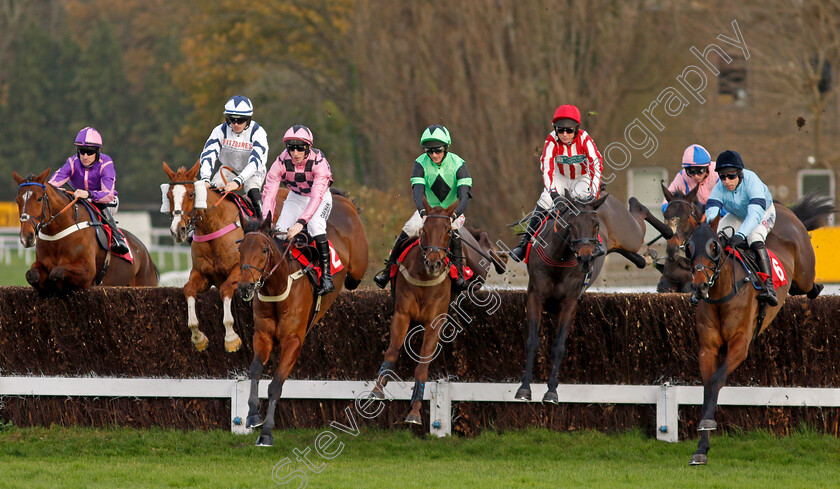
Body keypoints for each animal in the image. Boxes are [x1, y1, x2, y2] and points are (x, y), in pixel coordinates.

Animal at [12, 169, 158, 290]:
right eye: (18, 201)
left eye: (39, 198)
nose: (26, 237)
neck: (57, 233)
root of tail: (146, 254)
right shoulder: (40, 264)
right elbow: (31, 275)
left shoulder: (87, 272)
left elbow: (57, 272)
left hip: (145, 281)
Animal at [162, 162, 249, 352]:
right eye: (168, 195)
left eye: (191, 194)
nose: (177, 230)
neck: (213, 226)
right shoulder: (202, 274)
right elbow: (188, 289)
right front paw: (198, 338)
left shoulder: (239, 270)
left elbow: (225, 288)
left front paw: (231, 338)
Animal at [236, 190, 368, 446]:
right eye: (240, 250)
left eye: (264, 250)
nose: (245, 287)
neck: (278, 290)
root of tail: (342, 199)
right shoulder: (263, 335)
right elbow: (255, 370)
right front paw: (253, 415)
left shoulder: (293, 342)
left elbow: (276, 385)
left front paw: (266, 433)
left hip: (358, 261)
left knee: (354, 275)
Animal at [516, 193, 608, 402]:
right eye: (571, 225)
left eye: (596, 224)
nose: (585, 259)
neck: (559, 258)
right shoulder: (535, 297)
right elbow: (532, 342)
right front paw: (524, 388)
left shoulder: (570, 303)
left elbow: (559, 347)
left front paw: (551, 391)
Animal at [684, 193, 832, 464]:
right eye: (688, 247)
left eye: (714, 247)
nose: (699, 287)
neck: (722, 294)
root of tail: (785, 210)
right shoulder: (707, 348)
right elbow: (709, 385)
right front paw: (701, 448)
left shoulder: (740, 344)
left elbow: (718, 379)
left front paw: (707, 424)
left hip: (803, 269)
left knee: (810, 286)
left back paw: (812, 288)